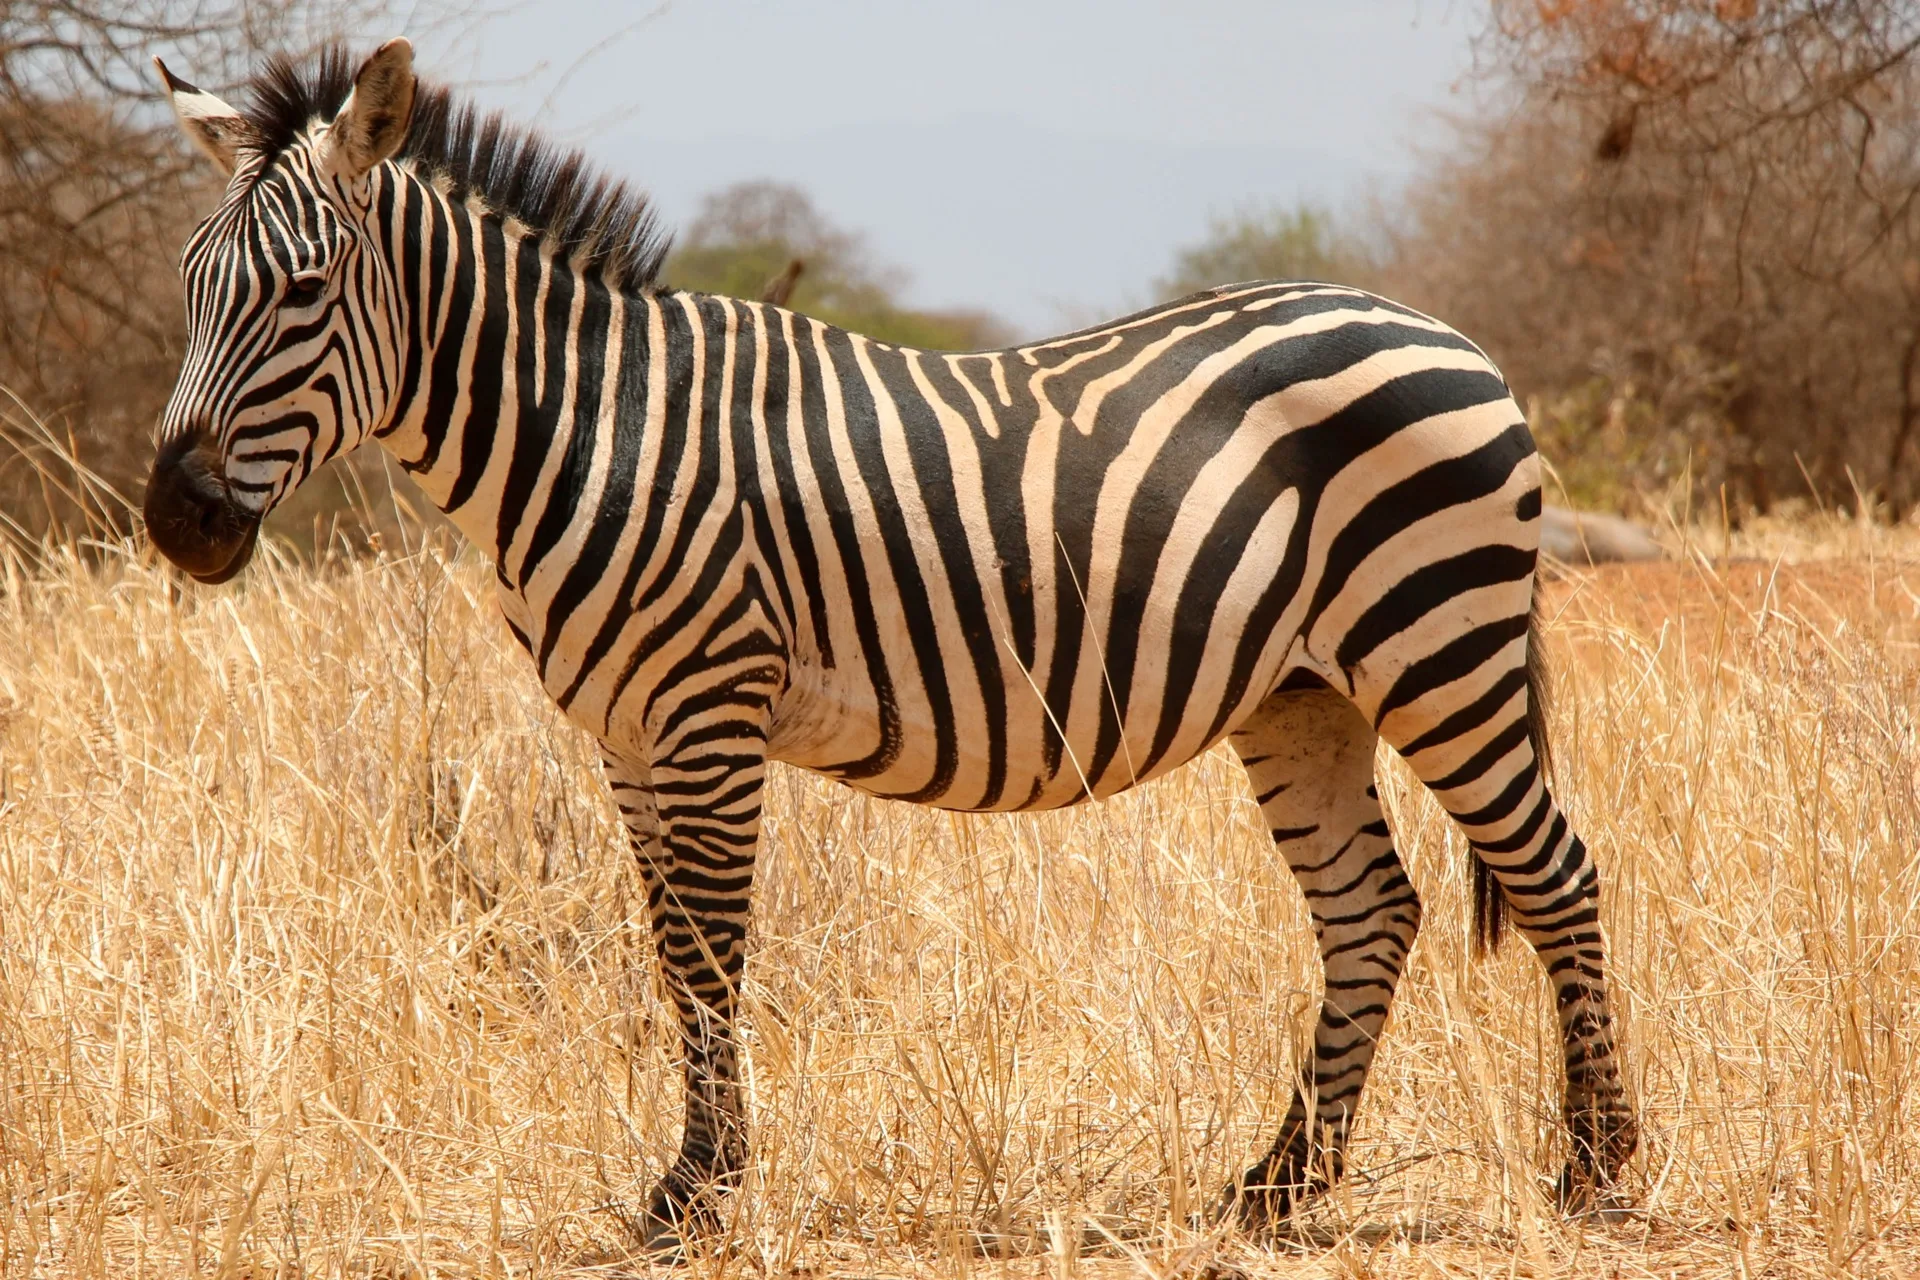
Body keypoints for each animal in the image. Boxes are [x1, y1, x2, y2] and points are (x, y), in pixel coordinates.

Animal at [143, 39, 1638, 1252]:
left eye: (301, 289)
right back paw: (1279, 1187)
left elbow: (710, 952)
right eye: (192, 287)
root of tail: (1451, 335)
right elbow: (666, 950)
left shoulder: (709, 710)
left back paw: (1599, 1171)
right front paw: (687, 1183)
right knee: (1371, 909)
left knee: (1555, 873)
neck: (598, 425)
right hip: (1306, 693)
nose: (175, 520)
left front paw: (701, 1191)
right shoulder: (627, 733)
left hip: (1437, 642)